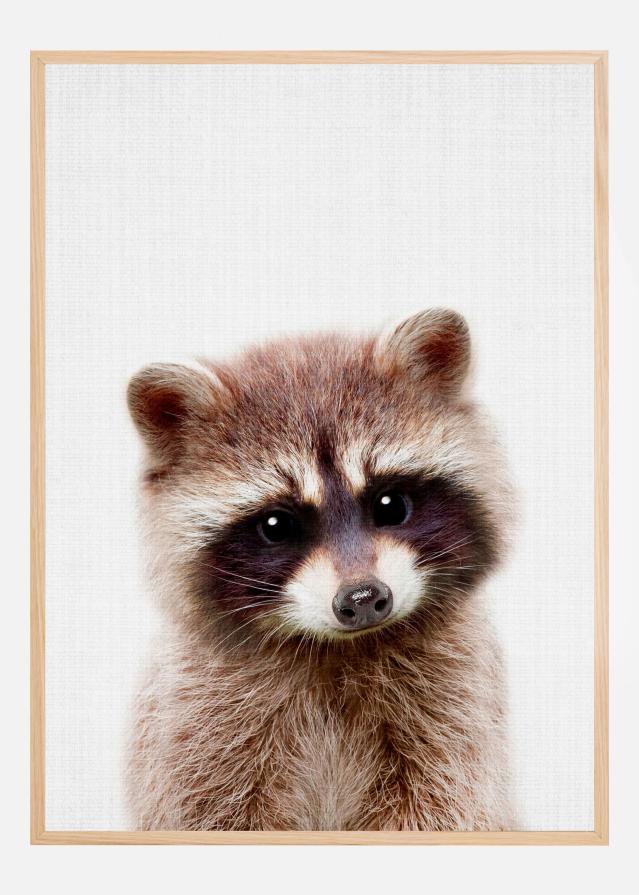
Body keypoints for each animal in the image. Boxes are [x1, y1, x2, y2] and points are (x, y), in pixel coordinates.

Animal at [126, 309, 514, 831]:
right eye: (276, 525)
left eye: (391, 504)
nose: (363, 599)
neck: (336, 649)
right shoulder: (196, 722)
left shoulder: (455, 705)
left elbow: (445, 803)